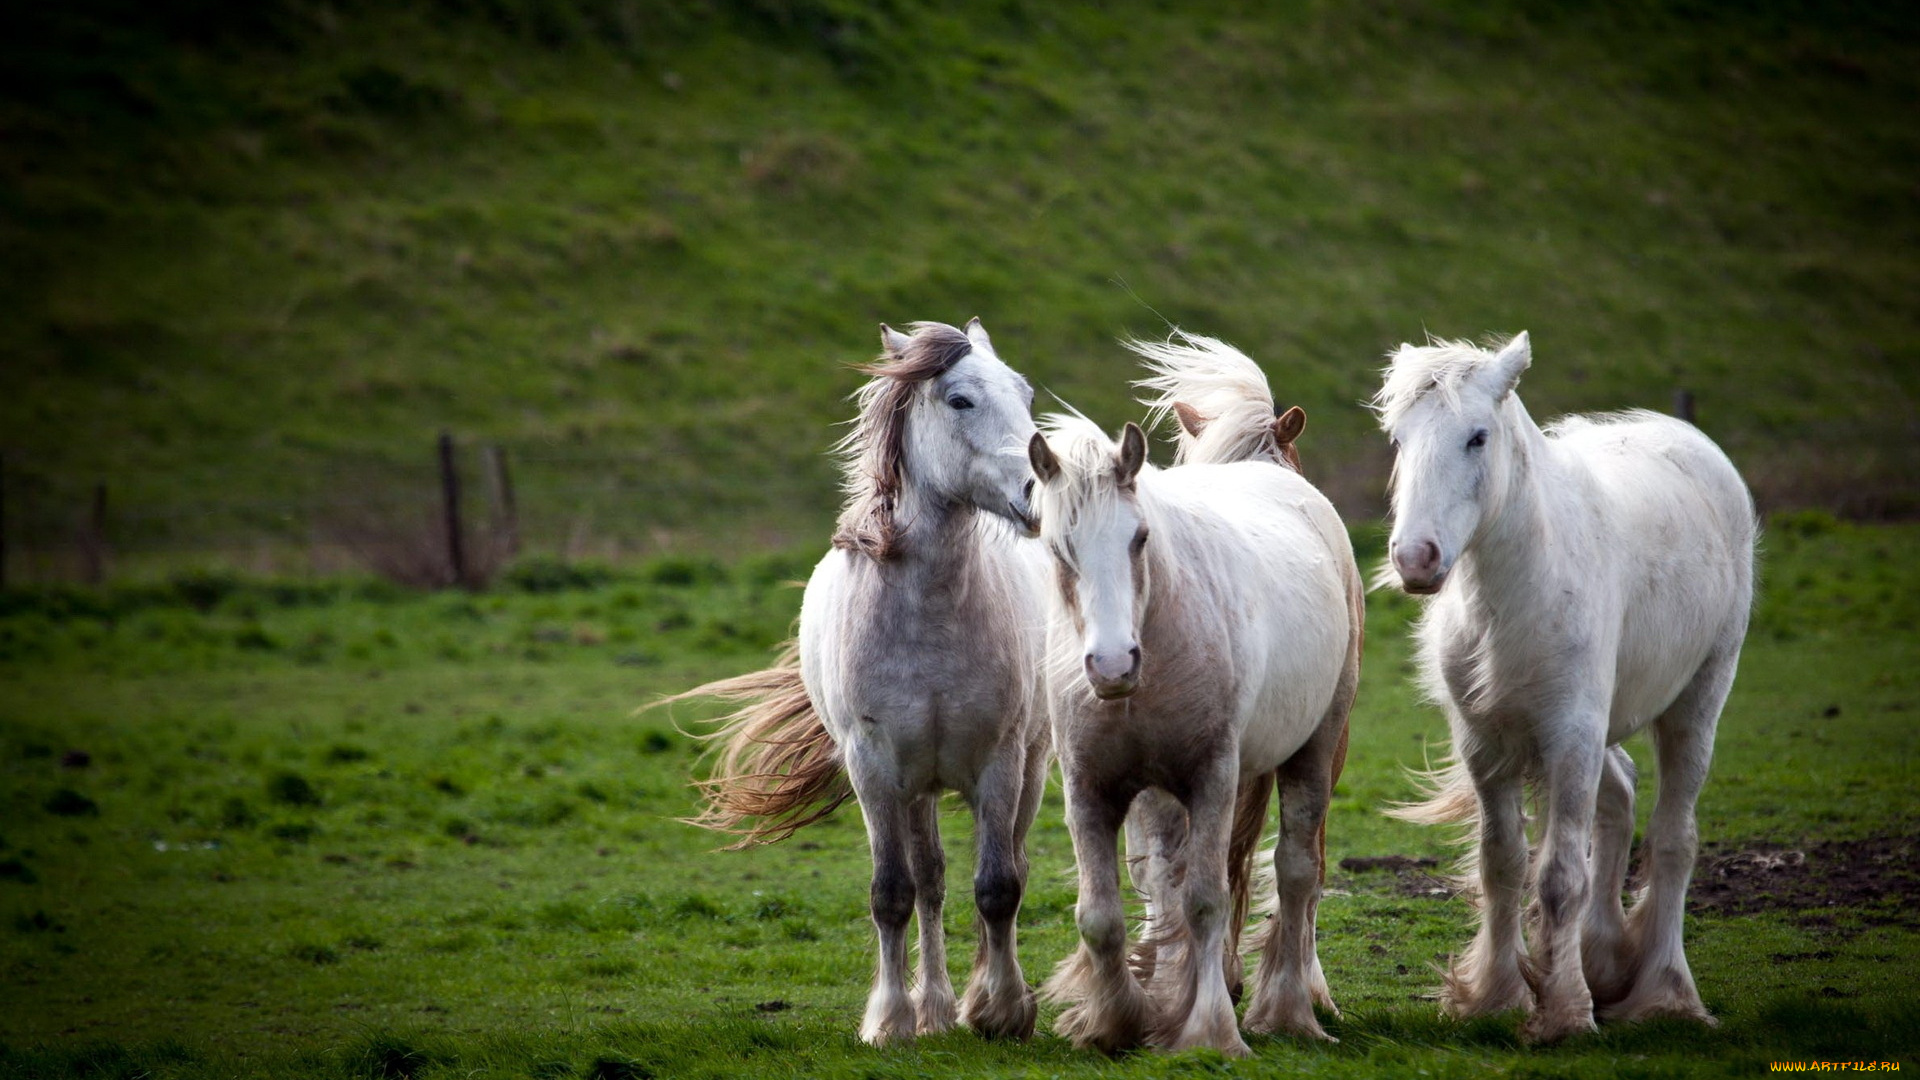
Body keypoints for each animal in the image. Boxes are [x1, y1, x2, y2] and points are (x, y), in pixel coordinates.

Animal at [664, 319, 1052, 1045]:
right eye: (959, 399)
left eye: (1024, 393)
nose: (1038, 492)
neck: (929, 616)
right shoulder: (872, 766)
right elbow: (893, 893)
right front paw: (892, 1020)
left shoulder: (1001, 760)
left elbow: (998, 887)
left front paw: (1002, 1010)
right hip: (916, 787)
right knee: (930, 881)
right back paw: (934, 1008)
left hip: (1030, 766)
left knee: (1003, 866)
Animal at [1029, 332, 1359, 1053]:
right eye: (1058, 548)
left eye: (1139, 537)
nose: (1112, 664)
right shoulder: (1092, 788)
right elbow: (1103, 913)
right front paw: (1119, 1019)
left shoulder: (1213, 776)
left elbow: (1206, 898)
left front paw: (1209, 1029)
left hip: (1315, 749)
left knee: (1296, 870)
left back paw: (1286, 1008)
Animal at [1374, 332, 1758, 1037]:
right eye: (1398, 439)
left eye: (1477, 437)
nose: (1415, 559)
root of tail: (1684, 437)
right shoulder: (1486, 745)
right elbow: (1503, 865)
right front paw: (1499, 995)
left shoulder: (1572, 734)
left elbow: (1558, 877)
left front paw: (1566, 1012)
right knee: (1621, 798)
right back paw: (1604, 957)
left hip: (1696, 703)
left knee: (1673, 839)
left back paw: (1665, 991)